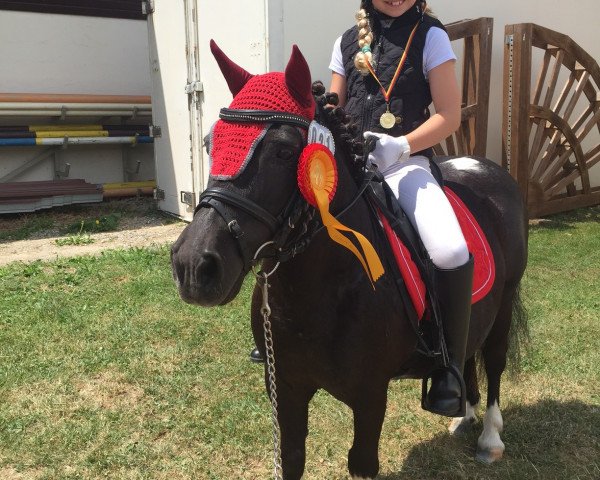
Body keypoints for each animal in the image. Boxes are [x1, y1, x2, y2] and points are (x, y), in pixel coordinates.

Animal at [171, 43, 528, 478]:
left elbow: (361, 461)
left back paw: (489, 437)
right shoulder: (284, 387)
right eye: (211, 142)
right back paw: (464, 414)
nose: (193, 266)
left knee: (494, 361)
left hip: (505, 301)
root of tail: (487, 167)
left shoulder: (370, 394)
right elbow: (291, 458)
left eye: (284, 150)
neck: (322, 288)